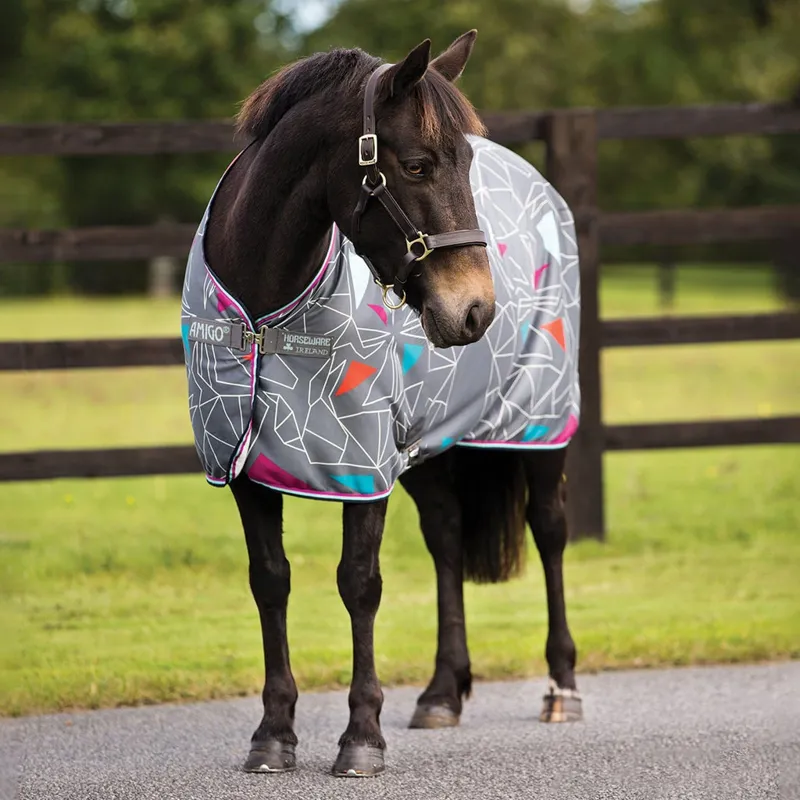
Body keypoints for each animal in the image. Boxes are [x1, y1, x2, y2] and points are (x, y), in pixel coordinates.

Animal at [180, 30, 582, 777]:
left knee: (550, 531)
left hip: (542, 424)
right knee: (447, 536)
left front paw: (361, 736)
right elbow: (269, 580)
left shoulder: (361, 464)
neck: (266, 312)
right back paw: (442, 693)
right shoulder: (245, 465)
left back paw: (563, 688)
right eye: (418, 165)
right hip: (428, 441)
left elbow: (359, 584)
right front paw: (273, 733)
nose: (475, 310)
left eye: (466, 163)